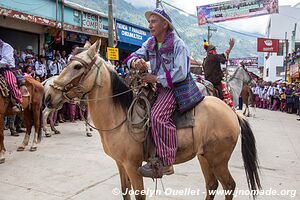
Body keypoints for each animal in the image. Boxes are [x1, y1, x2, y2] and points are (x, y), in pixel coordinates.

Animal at [44, 39, 260, 199]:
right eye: (67, 62)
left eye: (77, 66)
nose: (49, 96)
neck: (120, 118)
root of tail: (232, 113)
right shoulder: (120, 164)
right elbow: (125, 192)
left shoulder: (132, 166)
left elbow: (139, 195)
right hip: (204, 156)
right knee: (212, 185)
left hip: (218, 159)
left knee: (229, 185)